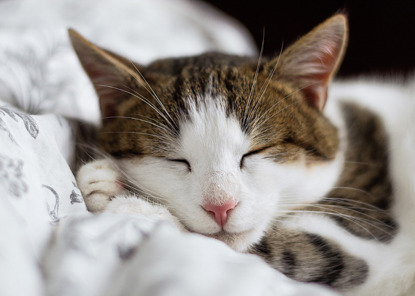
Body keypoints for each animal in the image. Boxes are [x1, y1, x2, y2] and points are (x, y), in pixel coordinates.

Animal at [70, 14, 415, 296]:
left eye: (255, 151)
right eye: (174, 159)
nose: (220, 207)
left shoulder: (372, 239)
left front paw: (136, 206)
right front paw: (107, 180)